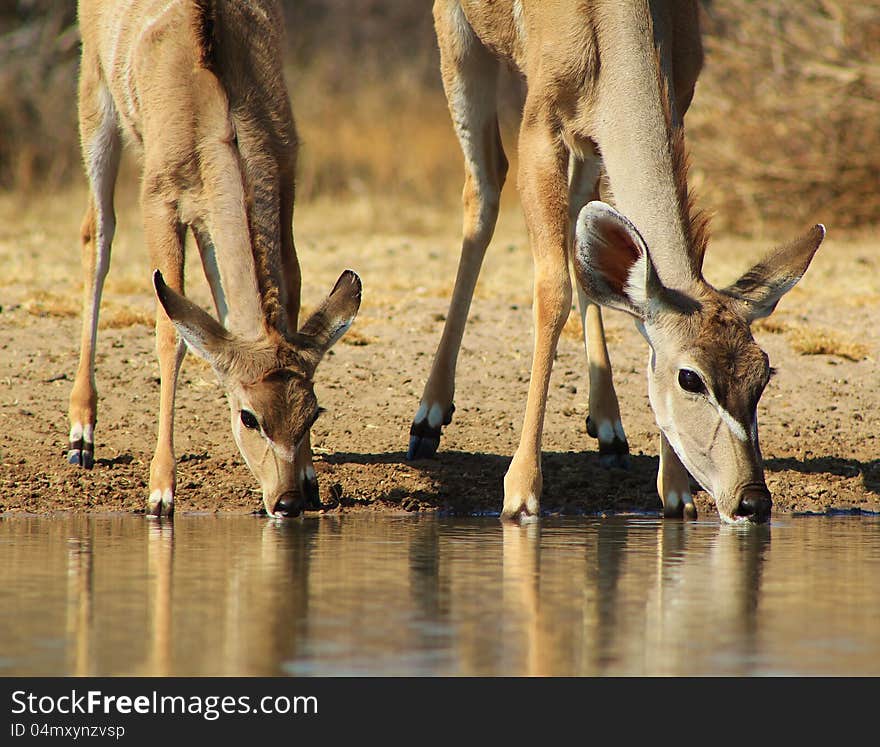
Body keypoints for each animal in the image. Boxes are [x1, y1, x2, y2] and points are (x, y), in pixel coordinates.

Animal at [65, 0, 360, 520]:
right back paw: (82, 436)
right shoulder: (159, 203)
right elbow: (171, 334)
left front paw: (312, 479)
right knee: (97, 234)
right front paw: (161, 491)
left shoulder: (284, 186)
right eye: (249, 417)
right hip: (96, 105)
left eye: (313, 413)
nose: (286, 502)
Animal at [412, 1, 824, 524]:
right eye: (690, 377)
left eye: (762, 374)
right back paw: (428, 418)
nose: (752, 501)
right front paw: (521, 495)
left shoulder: (664, 103)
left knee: (580, 214)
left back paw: (609, 428)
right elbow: (552, 290)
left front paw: (676, 495)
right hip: (460, 42)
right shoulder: (540, 125)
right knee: (484, 188)